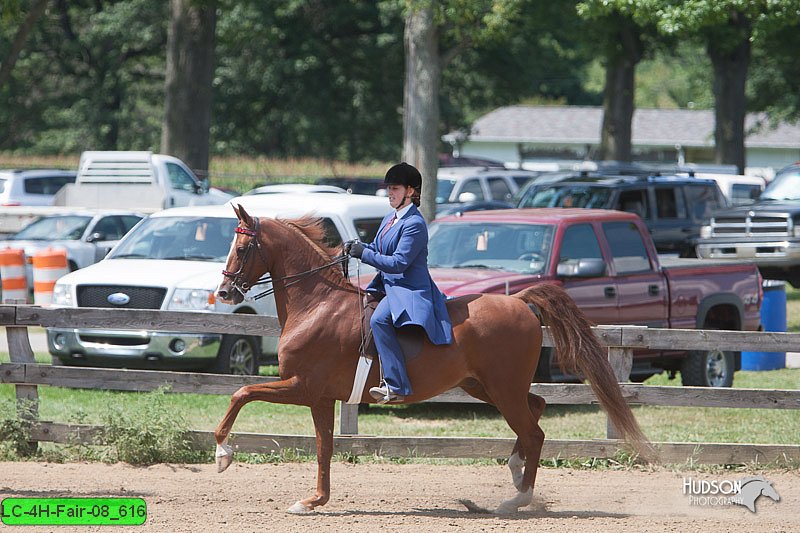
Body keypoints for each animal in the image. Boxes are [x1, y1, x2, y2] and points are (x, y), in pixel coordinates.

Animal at [216, 204, 652, 512]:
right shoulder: (320, 397)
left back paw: (518, 499)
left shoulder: (302, 387)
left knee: (534, 431)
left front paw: (223, 455)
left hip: (502, 389)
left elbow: (241, 394)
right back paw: (515, 473)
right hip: (485, 386)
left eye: (242, 248)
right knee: (538, 405)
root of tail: (519, 302)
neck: (317, 303)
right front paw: (313, 501)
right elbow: (323, 448)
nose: (224, 293)